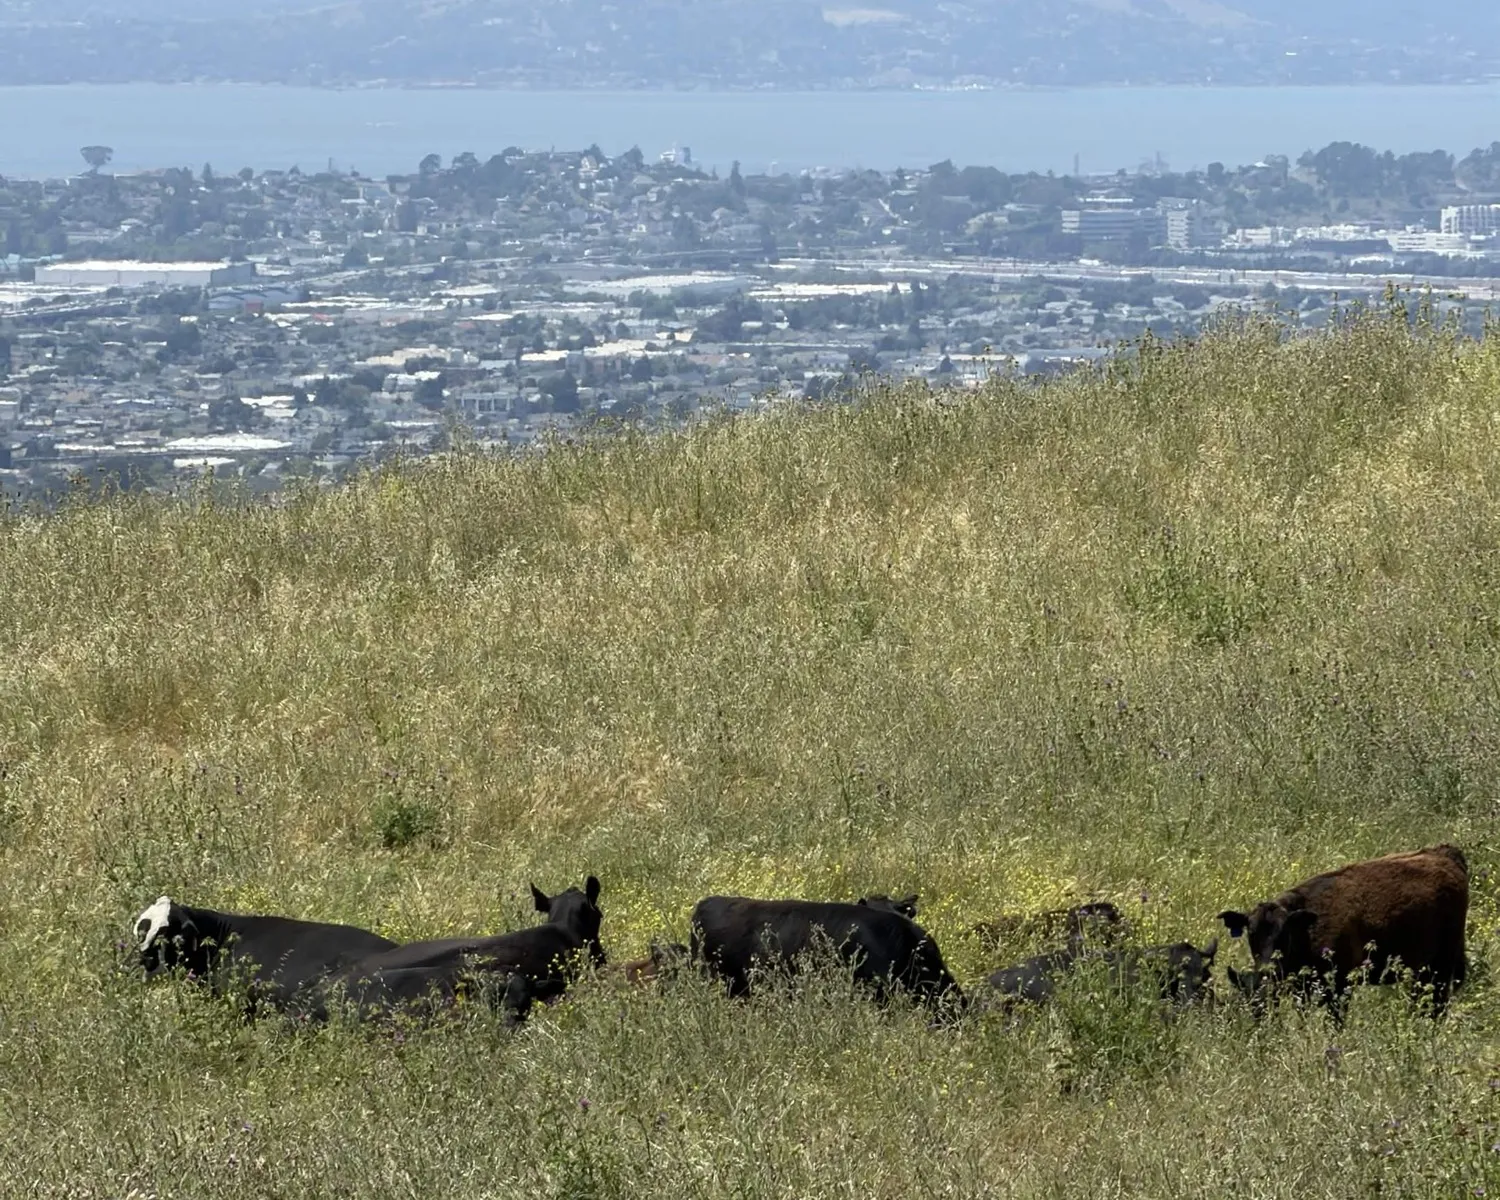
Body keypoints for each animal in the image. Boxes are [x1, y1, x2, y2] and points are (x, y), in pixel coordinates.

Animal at [1217, 844, 1469, 1020]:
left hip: (1442, 965)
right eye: (1251, 932)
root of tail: (1446, 853)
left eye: (1283, 934)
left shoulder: (1340, 986)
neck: (1305, 928)